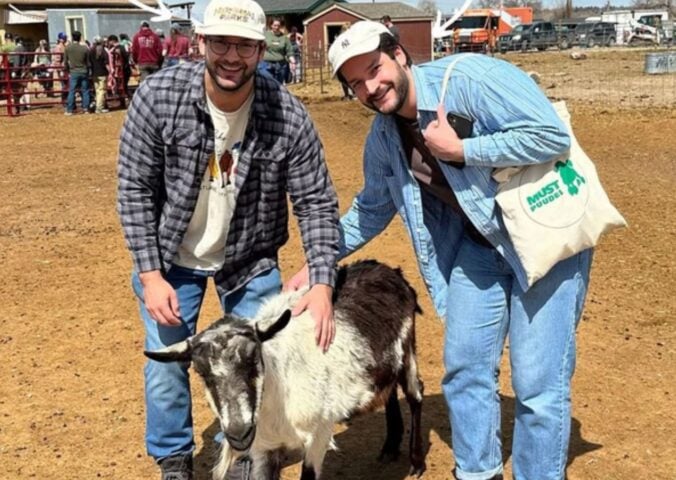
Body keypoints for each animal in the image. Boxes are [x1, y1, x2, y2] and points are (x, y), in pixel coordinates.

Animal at [145, 260, 426, 480]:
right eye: (202, 372)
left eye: (253, 359)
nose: (238, 433)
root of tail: (388, 270)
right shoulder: (263, 447)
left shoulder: (319, 434)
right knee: (389, 390)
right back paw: (390, 447)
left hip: (408, 348)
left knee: (415, 394)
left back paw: (416, 462)